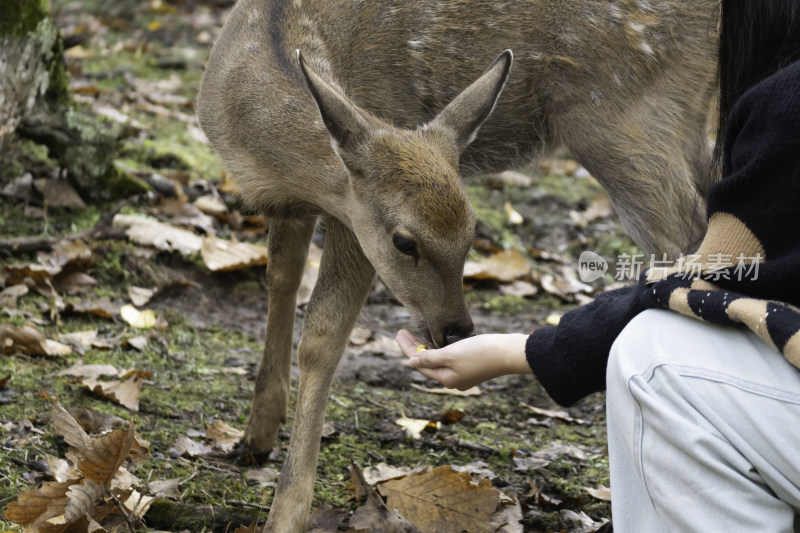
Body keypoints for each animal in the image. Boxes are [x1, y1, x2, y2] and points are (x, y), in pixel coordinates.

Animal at [198, 0, 720, 528]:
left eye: (472, 234)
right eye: (405, 241)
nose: (456, 331)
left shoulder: (351, 224)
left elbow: (323, 338)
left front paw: (285, 515)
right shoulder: (289, 208)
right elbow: (280, 279)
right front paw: (255, 436)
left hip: (623, 118)